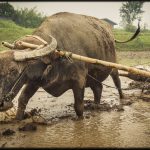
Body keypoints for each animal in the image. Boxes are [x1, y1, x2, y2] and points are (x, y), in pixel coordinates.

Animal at [0, 12, 139, 119]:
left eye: (13, 70)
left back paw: (122, 98)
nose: (2, 104)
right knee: (98, 87)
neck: (56, 56)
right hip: (92, 75)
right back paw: (96, 106)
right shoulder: (35, 80)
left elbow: (78, 107)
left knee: (117, 82)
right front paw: (18, 120)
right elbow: (22, 99)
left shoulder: (79, 80)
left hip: (113, 66)